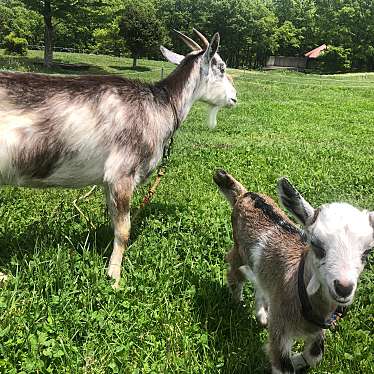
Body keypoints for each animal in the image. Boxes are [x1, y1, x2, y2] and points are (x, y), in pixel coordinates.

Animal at [0, 30, 237, 288]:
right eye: (222, 67)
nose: (234, 98)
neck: (160, 106)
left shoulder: (107, 181)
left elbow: (114, 223)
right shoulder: (122, 173)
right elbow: (124, 230)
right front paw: (114, 277)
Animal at [213, 170, 374, 374]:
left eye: (367, 251)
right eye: (315, 244)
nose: (343, 288)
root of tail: (245, 194)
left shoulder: (316, 329)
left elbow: (315, 355)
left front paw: (297, 360)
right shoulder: (280, 330)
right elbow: (284, 366)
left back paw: (262, 315)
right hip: (239, 250)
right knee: (234, 272)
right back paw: (236, 302)